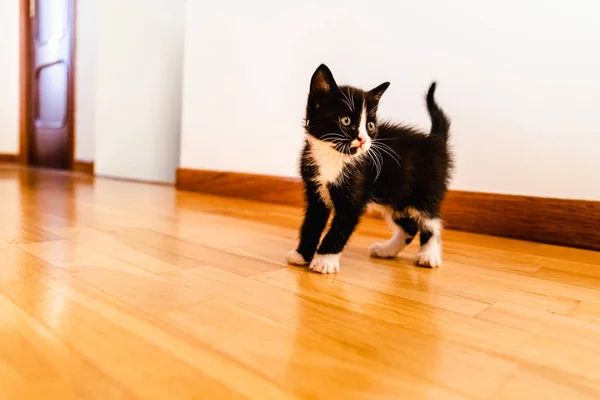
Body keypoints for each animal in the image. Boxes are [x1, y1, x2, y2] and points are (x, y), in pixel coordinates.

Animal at [288, 64, 452, 274]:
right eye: (346, 121)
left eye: (370, 126)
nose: (363, 139)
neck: (334, 156)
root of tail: (435, 141)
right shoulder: (315, 191)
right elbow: (312, 223)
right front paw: (302, 255)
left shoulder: (354, 198)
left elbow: (339, 230)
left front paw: (324, 260)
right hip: (396, 195)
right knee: (409, 227)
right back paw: (387, 250)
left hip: (425, 191)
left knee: (430, 222)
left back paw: (429, 255)